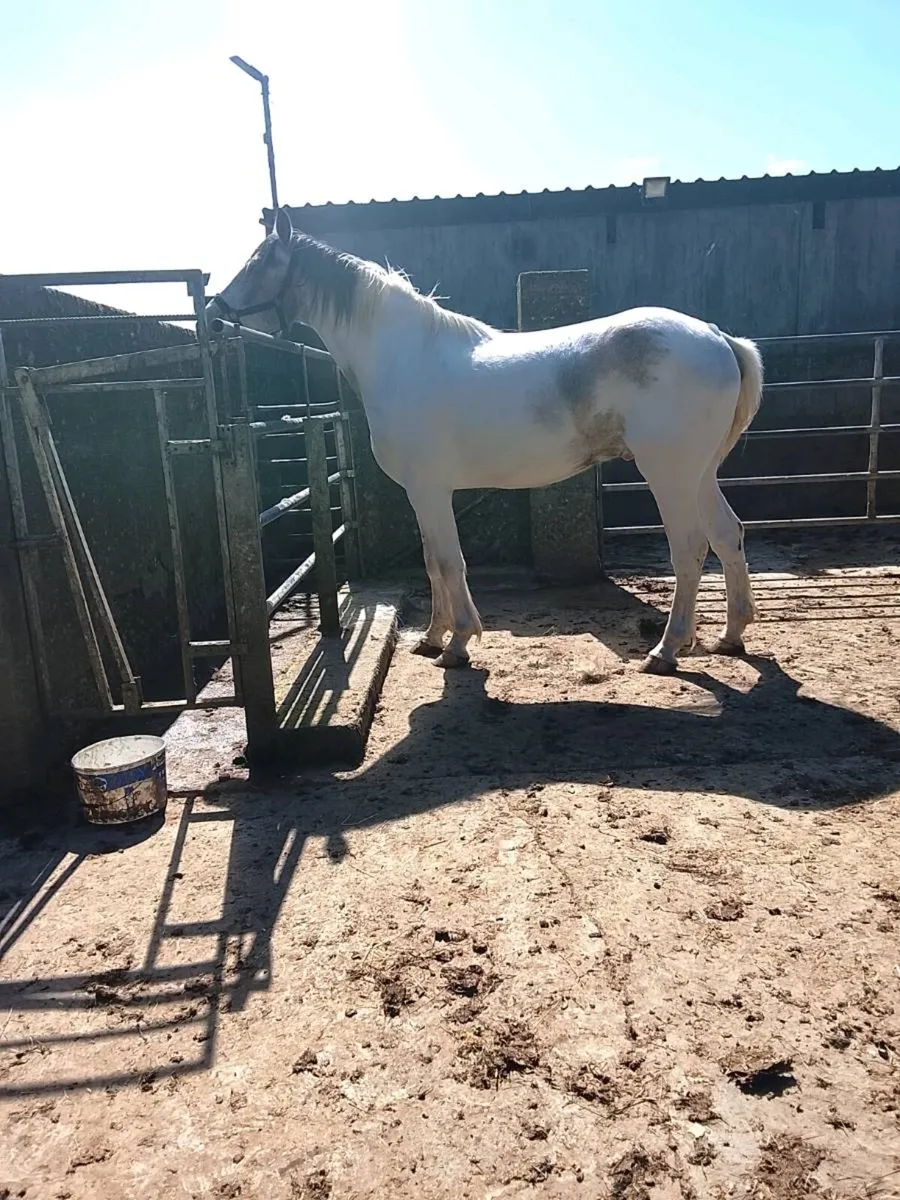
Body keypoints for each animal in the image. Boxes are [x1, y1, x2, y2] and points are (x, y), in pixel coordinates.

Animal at [208, 207, 763, 674]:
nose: (211, 316)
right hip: (699, 474)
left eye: (257, 263)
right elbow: (431, 560)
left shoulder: (430, 489)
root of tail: (717, 337)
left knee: (690, 548)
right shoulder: (422, 494)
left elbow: (449, 561)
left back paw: (666, 651)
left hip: (669, 474)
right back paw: (729, 637)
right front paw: (431, 638)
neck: (402, 357)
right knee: (727, 534)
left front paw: (457, 644)